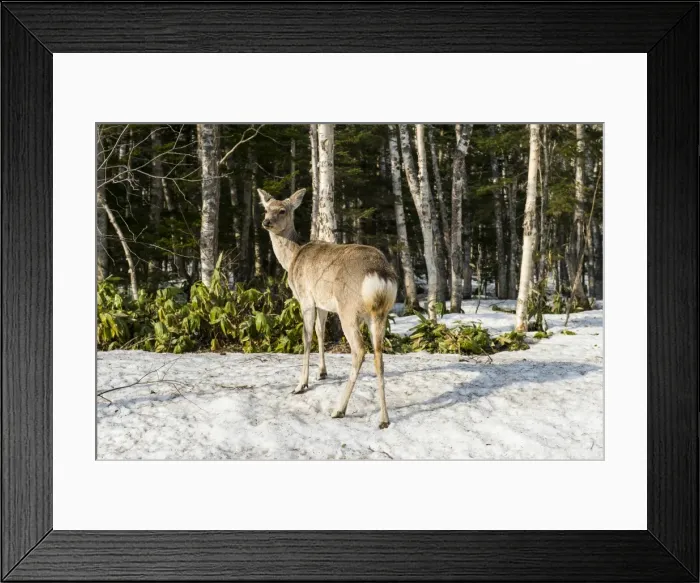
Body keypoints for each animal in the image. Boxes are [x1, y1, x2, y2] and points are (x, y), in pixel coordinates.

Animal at [258, 188, 398, 429]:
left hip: (348, 309)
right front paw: (322, 373)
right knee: (379, 354)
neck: (292, 258)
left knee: (359, 350)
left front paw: (301, 385)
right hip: (379, 313)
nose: (266, 222)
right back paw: (383, 419)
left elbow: (306, 338)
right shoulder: (322, 303)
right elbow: (320, 332)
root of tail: (380, 275)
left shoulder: (305, 297)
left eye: (283, 210)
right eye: (266, 208)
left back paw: (339, 409)